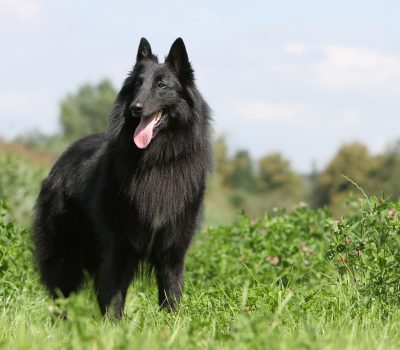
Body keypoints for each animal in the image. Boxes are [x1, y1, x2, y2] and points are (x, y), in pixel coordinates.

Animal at [32, 37, 212, 318]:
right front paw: (113, 327)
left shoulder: (173, 249)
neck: (155, 161)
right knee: (61, 294)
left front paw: (171, 325)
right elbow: (114, 296)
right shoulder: (120, 245)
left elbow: (170, 294)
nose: (135, 108)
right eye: (138, 84)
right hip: (65, 254)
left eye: (161, 85)